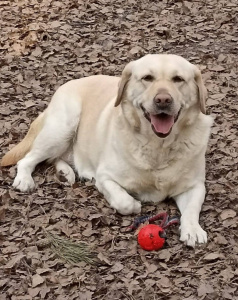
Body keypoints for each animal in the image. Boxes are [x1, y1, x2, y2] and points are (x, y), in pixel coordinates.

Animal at [0, 54, 213, 246]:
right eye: (147, 78)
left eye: (178, 79)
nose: (163, 100)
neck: (158, 146)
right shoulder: (105, 177)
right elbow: (124, 202)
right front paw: (135, 204)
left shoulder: (194, 185)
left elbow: (192, 209)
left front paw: (193, 230)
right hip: (62, 127)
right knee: (28, 159)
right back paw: (24, 179)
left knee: (55, 158)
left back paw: (65, 172)